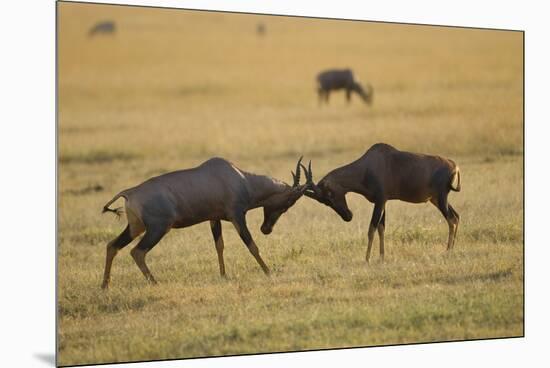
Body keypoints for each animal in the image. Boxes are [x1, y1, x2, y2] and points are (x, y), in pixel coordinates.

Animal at [101, 157, 312, 288]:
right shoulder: (237, 216)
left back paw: (105, 286)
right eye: (287, 204)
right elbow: (252, 245)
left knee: (112, 246)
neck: (239, 177)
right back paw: (154, 282)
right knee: (137, 252)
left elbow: (219, 246)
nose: (266, 229)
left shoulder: (214, 218)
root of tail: (130, 193)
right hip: (157, 229)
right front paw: (268, 272)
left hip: (135, 227)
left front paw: (223, 275)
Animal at [304, 143, 464, 262]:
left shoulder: (380, 201)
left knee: (451, 219)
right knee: (456, 216)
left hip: (441, 198)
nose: (348, 216)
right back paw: (451, 250)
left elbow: (372, 228)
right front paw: (381, 258)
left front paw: (367, 259)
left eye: (329, 195)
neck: (368, 165)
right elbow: (381, 228)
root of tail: (454, 166)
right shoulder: (384, 202)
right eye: (323, 201)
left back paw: (448, 251)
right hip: (435, 199)